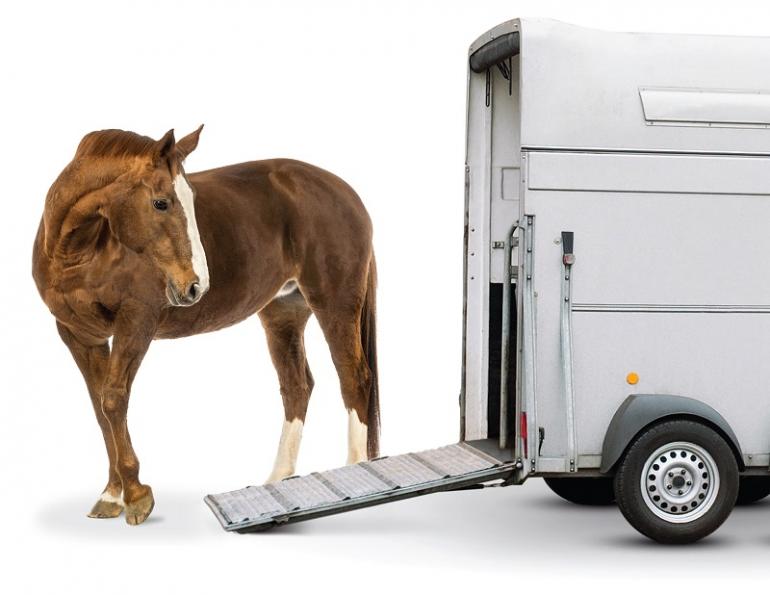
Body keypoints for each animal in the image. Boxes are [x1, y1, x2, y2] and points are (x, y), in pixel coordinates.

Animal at [32, 127, 379, 525]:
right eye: (161, 203)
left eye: (191, 200)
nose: (197, 285)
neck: (82, 251)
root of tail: (346, 192)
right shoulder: (79, 336)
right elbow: (100, 408)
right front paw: (111, 495)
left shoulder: (136, 322)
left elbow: (114, 400)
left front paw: (136, 497)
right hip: (283, 313)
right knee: (297, 386)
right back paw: (278, 478)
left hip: (335, 303)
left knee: (353, 376)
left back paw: (354, 473)